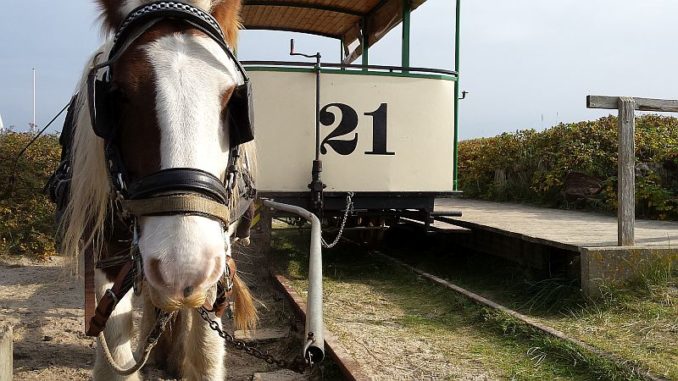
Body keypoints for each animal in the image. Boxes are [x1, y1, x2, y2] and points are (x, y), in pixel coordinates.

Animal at [52, 1, 258, 378]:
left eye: (232, 97)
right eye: (116, 94)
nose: (184, 267)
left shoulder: (215, 256)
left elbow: (206, 352)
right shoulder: (106, 251)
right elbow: (115, 350)